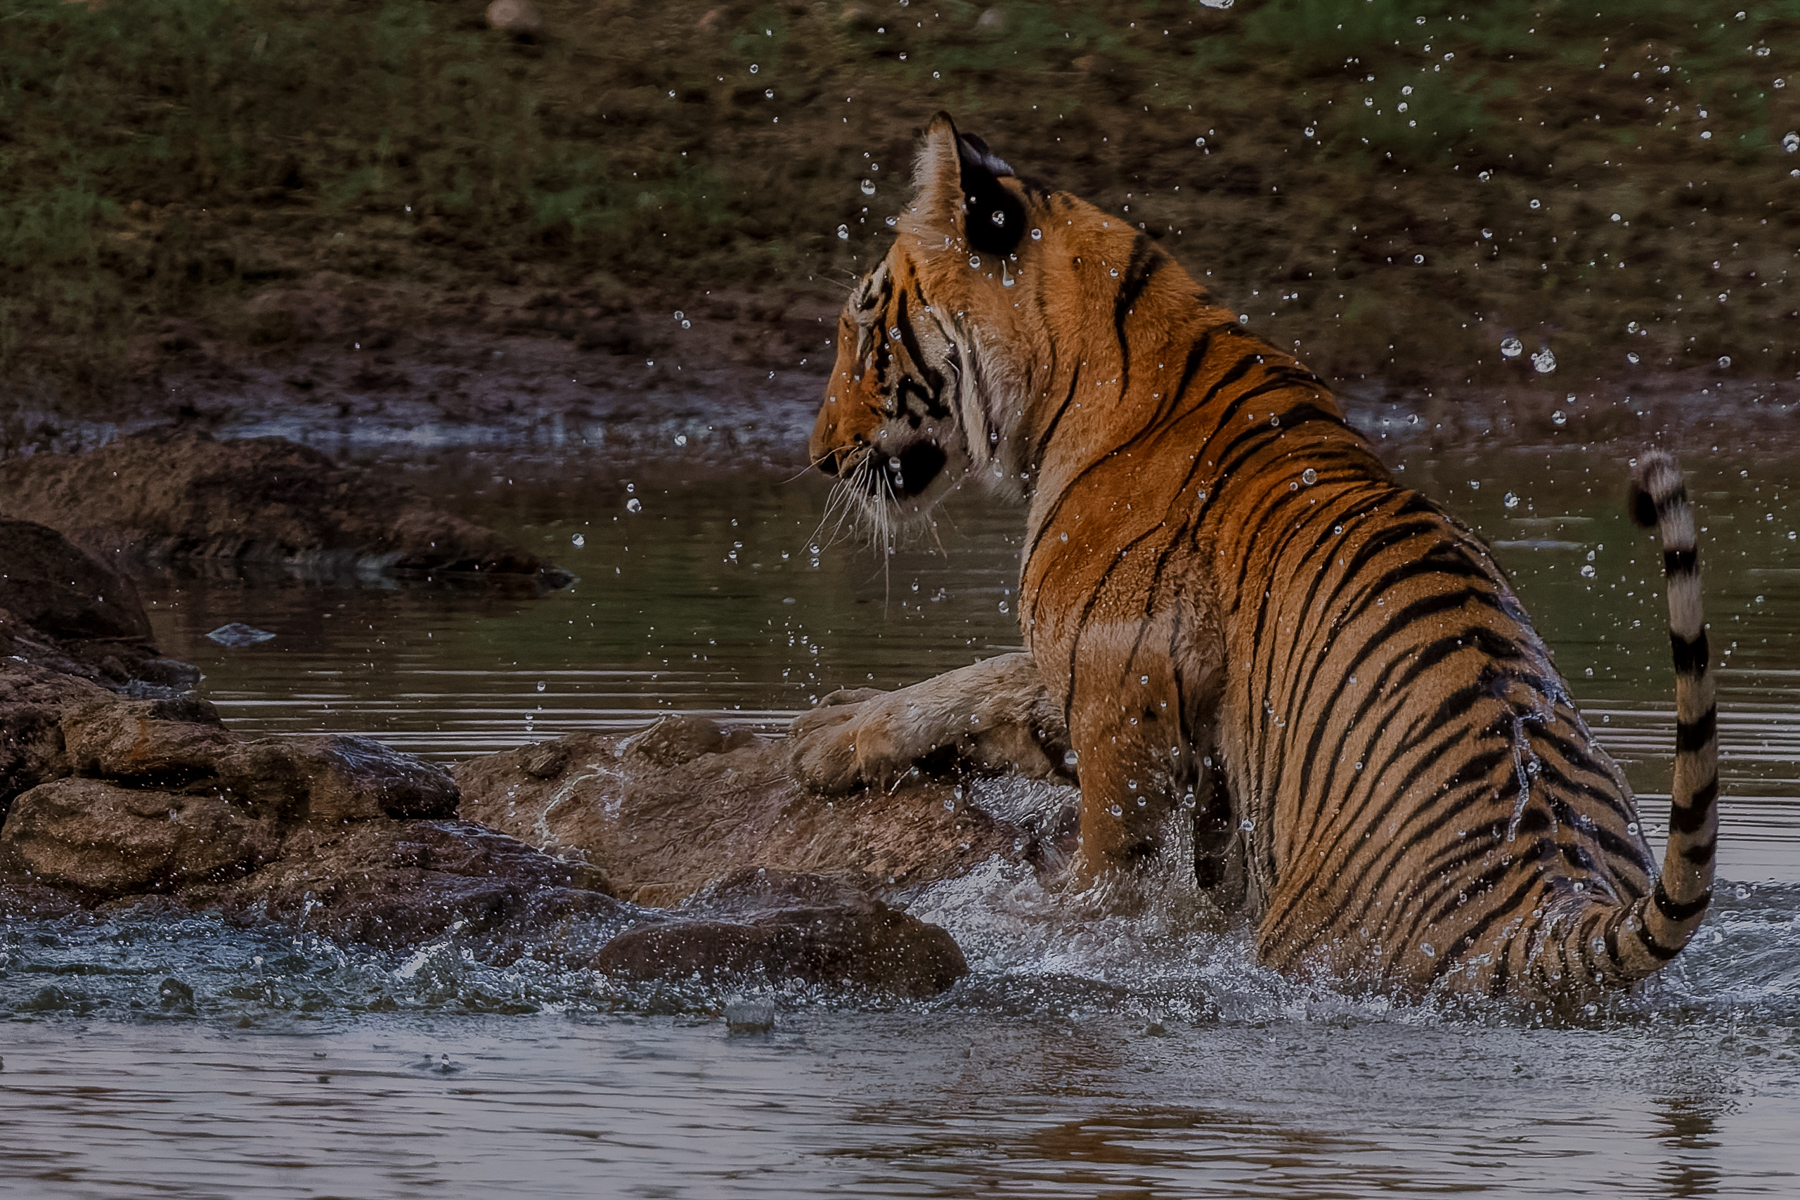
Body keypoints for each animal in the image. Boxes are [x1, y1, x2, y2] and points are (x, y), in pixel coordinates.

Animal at [788, 113, 1718, 1000]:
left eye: (861, 331)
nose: (820, 456)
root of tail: (1546, 909)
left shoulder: (1119, 712)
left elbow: (1092, 890)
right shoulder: (1097, 671)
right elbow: (984, 679)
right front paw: (830, 730)